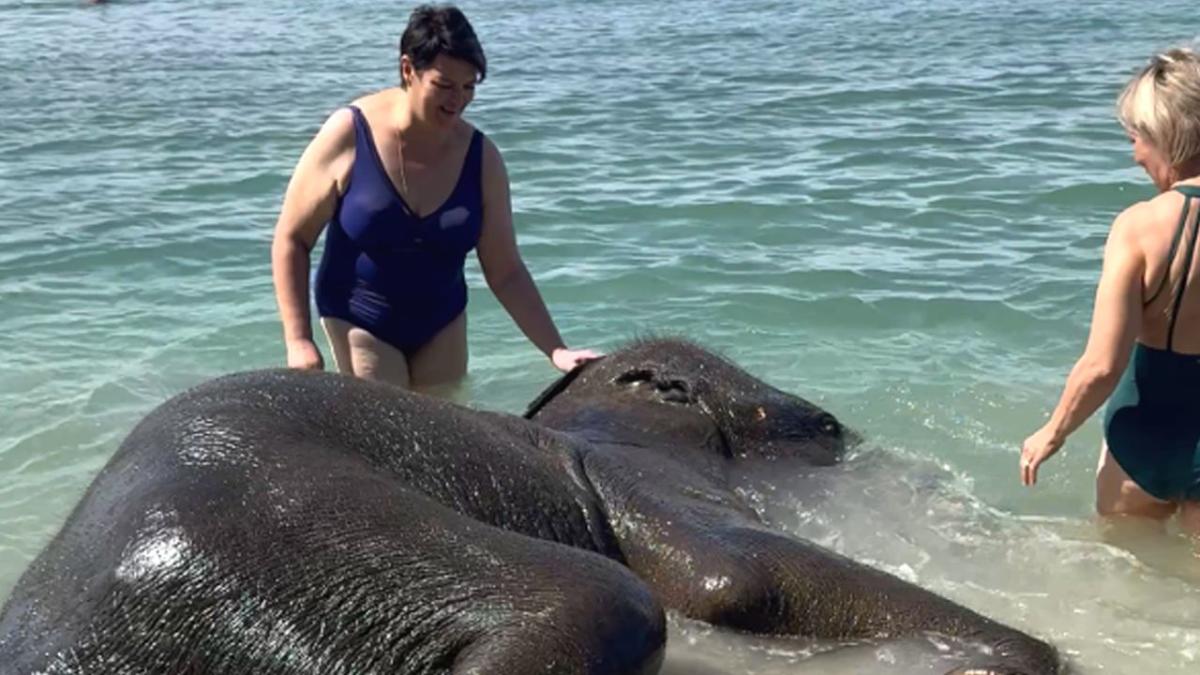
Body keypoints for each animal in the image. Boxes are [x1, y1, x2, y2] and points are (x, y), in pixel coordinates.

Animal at [0, 338, 1056, 667]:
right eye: (823, 428)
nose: (840, 428)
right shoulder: (639, 477)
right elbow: (731, 576)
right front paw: (1034, 656)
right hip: (284, 527)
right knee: (602, 603)